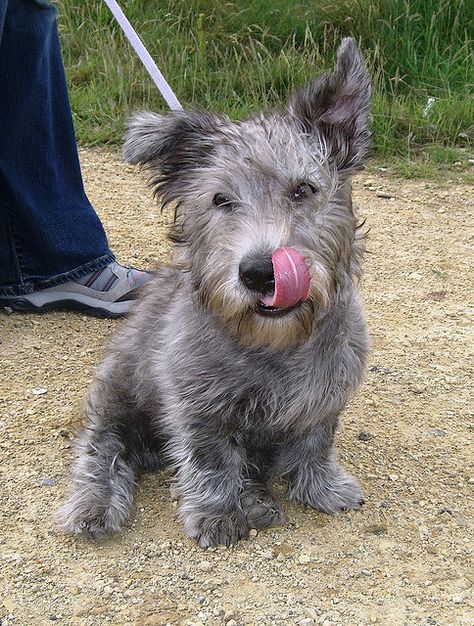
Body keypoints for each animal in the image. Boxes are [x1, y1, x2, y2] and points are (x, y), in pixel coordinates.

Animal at [58, 39, 370, 544]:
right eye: (221, 200)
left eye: (303, 190)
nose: (260, 272)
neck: (273, 345)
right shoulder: (197, 405)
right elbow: (211, 460)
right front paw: (216, 513)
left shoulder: (324, 397)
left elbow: (315, 442)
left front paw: (321, 487)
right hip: (120, 396)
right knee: (103, 447)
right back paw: (95, 502)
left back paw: (259, 496)